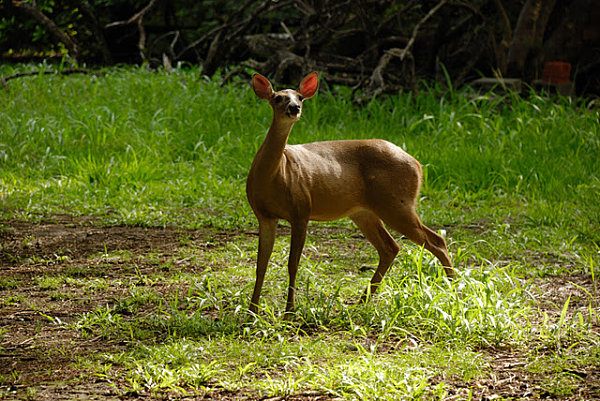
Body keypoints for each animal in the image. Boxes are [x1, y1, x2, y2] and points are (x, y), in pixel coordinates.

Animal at [246, 71, 452, 316]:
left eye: (300, 97)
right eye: (277, 97)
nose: (294, 108)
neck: (273, 176)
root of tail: (418, 165)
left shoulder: (301, 210)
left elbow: (292, 264)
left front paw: (289, 312)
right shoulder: (264, 215)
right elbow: (261, 264)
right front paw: (251, 311)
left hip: (397, 204)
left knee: (436, 240)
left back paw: (454, 290)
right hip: (365, 212)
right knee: (391, 247)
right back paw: (361, 301)